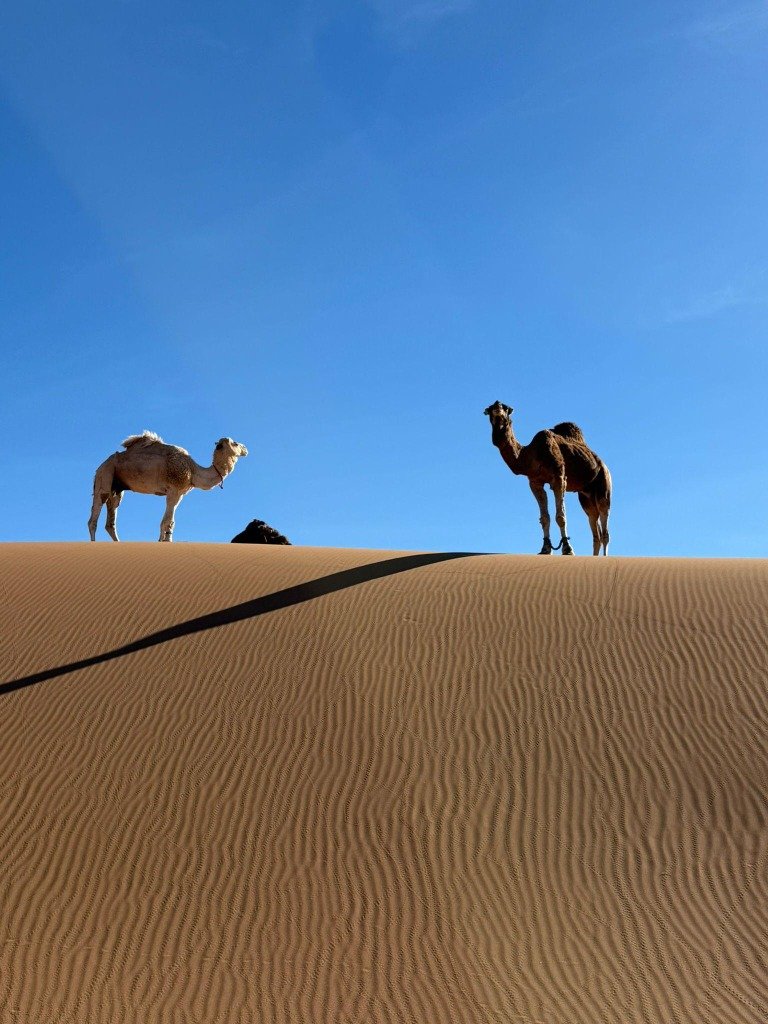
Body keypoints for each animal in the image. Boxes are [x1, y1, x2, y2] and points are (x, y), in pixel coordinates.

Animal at [88, 431, 248, 542]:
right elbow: (168, 522)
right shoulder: (174, 491)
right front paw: (165, 542)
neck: (193, 471)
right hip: (105, 475)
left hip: (117, 488)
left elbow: (167, 522)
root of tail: (99, 467)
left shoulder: (179, 493)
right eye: (235, 443)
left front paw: (163, 541)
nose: (246, 448)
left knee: (111, 518)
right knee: (94, 517)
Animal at [484, 401, 611, 555]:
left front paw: (567, 549)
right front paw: (545, 548)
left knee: (604, 525)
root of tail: (603, 464)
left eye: (506, 408)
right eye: (490, 409)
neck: (530, 454)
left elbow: (560, 516)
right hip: (585, 496)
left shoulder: (559, 477)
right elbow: (545, 518)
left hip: (603, 483)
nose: (497, 406)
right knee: (594, 525)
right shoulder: (535, 482)